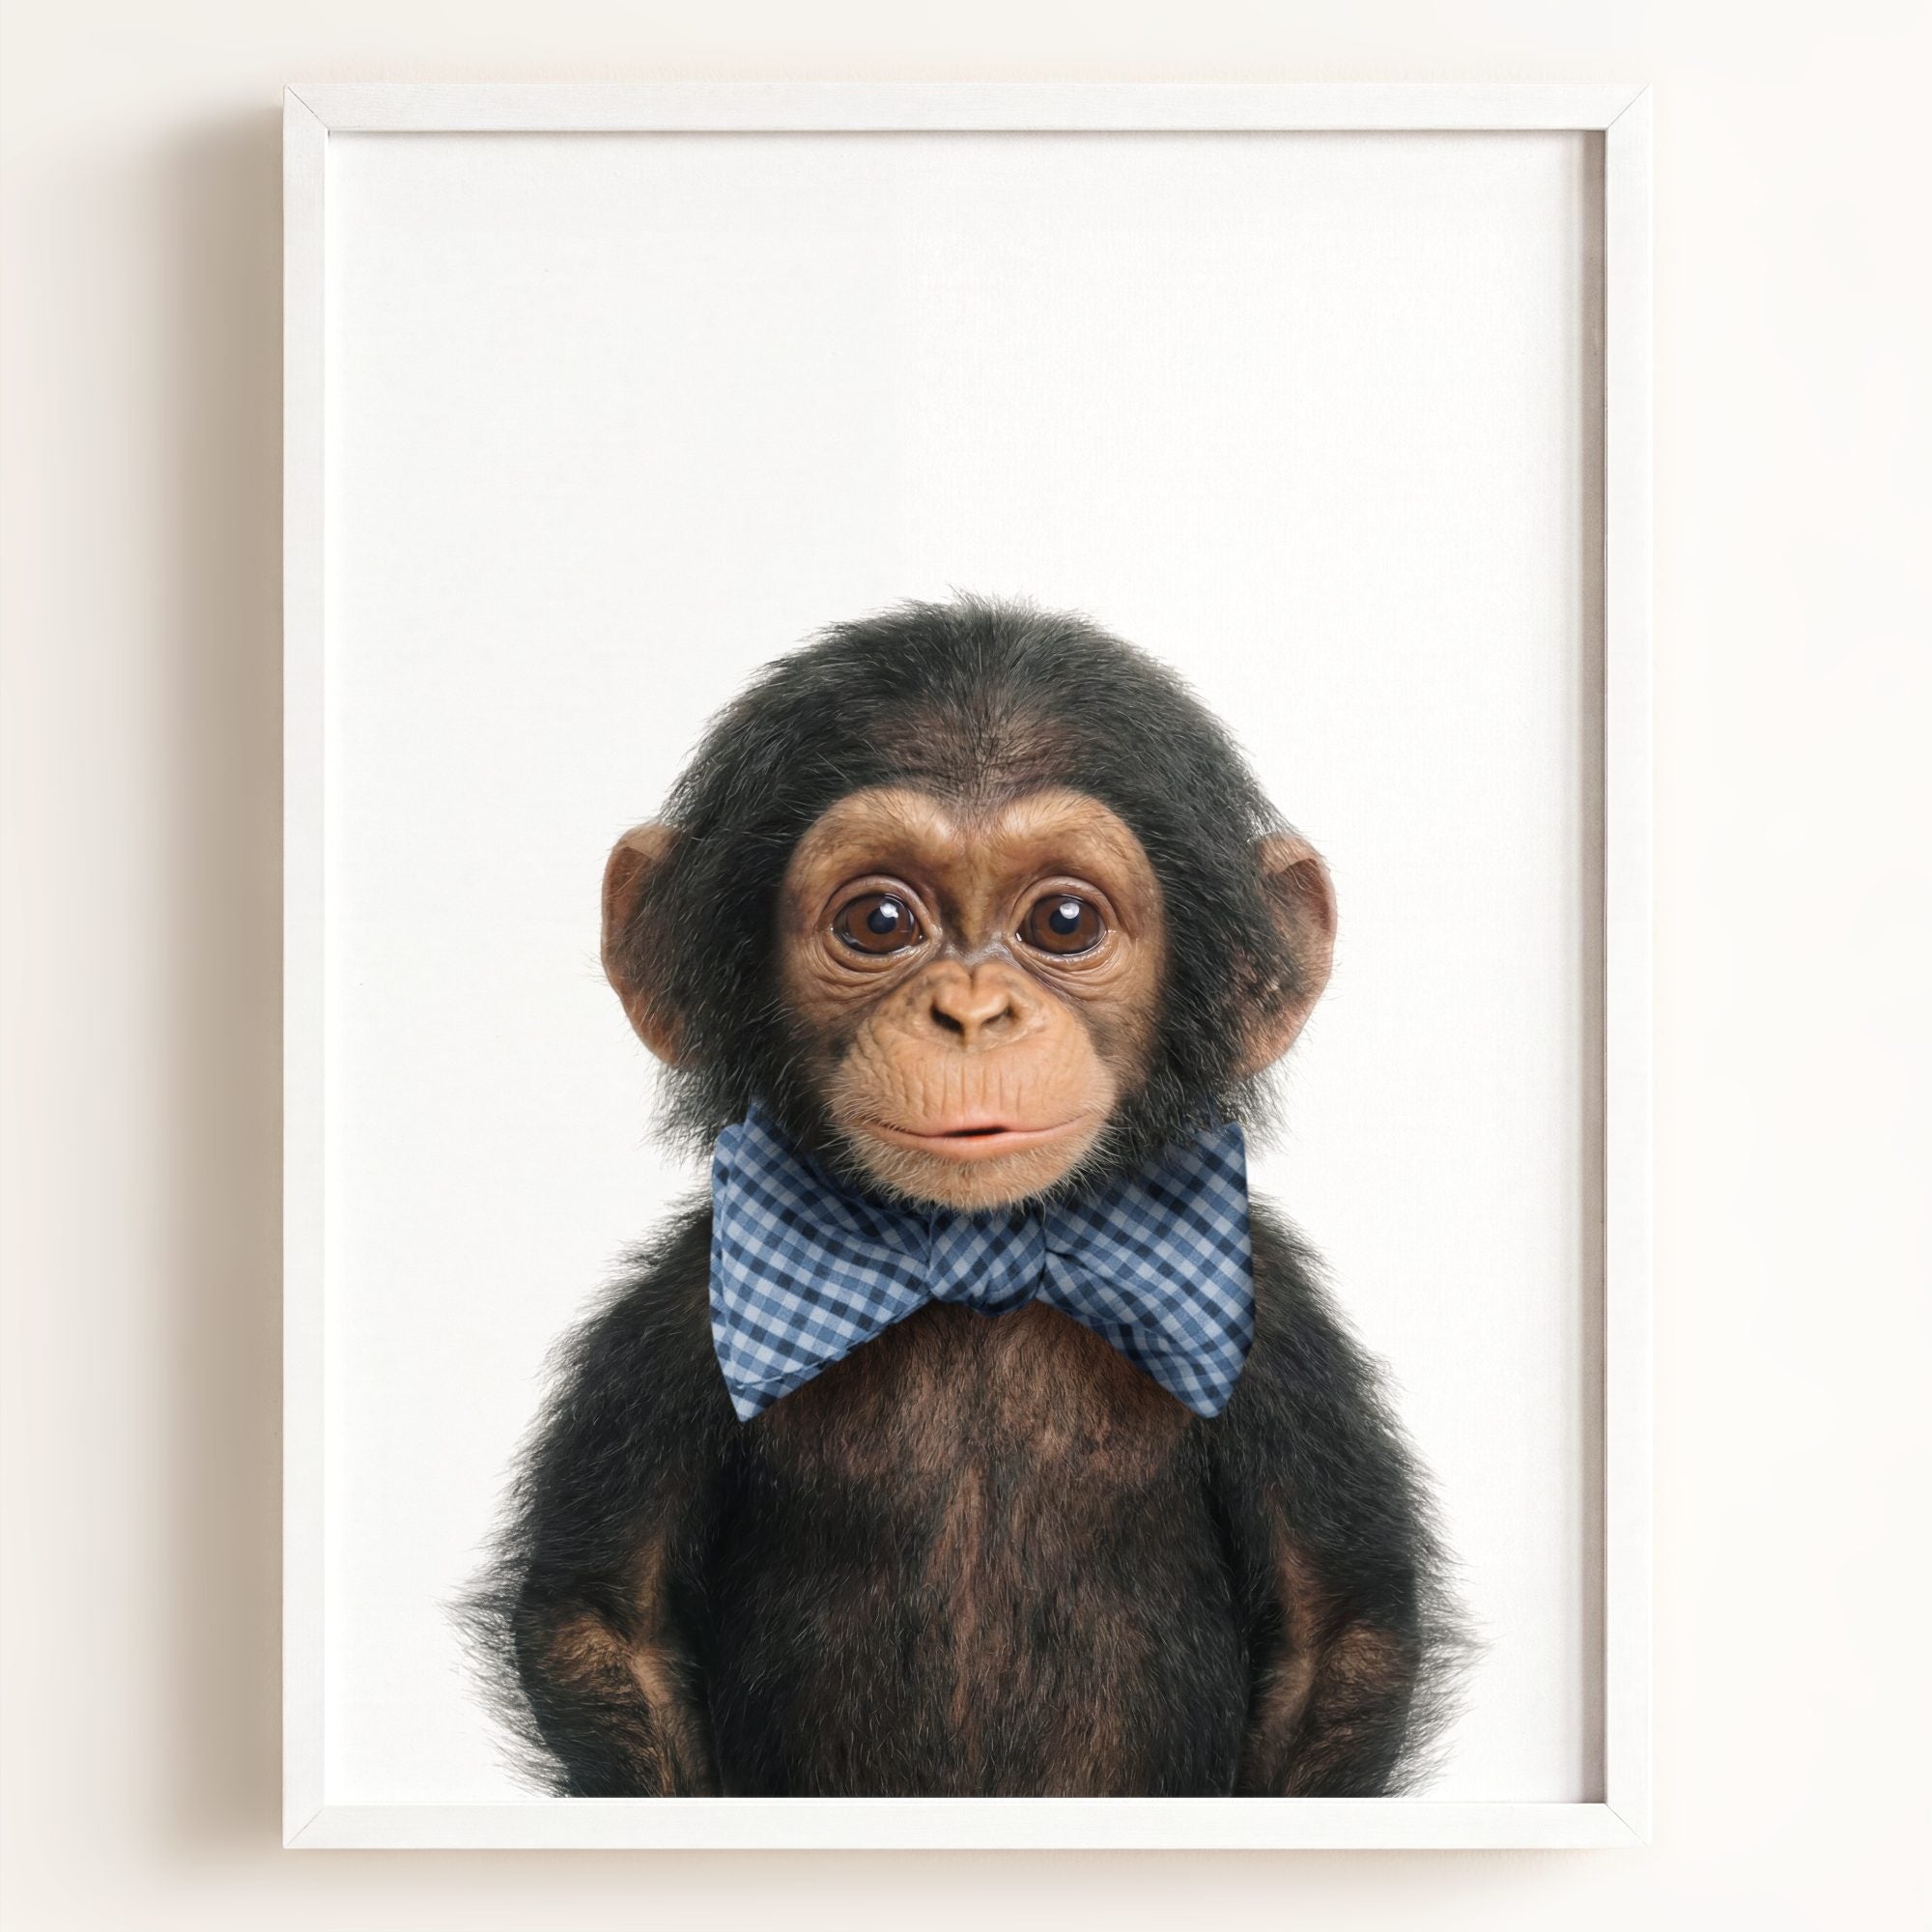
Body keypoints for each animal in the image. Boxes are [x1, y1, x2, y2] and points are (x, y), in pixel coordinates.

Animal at [463, 596, 1465, 1797]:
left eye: (1064, 921)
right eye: (880, 921)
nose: (973, 1012)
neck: (976, 1254)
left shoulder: (1273, 1327)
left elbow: (1336, 1632)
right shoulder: (670, 1319)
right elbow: (606, 1621)